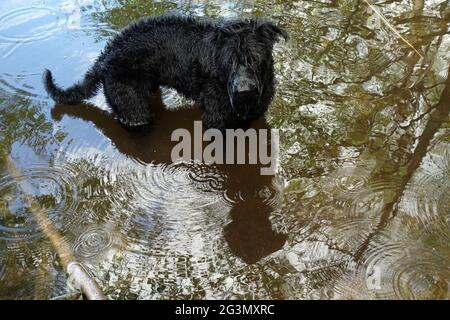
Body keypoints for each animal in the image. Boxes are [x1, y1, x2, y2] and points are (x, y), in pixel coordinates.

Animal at [43, 14, 288, 130]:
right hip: (132, 106)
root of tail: (107, 55)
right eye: (229, 61)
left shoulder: (256, 115)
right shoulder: (215, 119)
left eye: (255, 58)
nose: (243, 90)